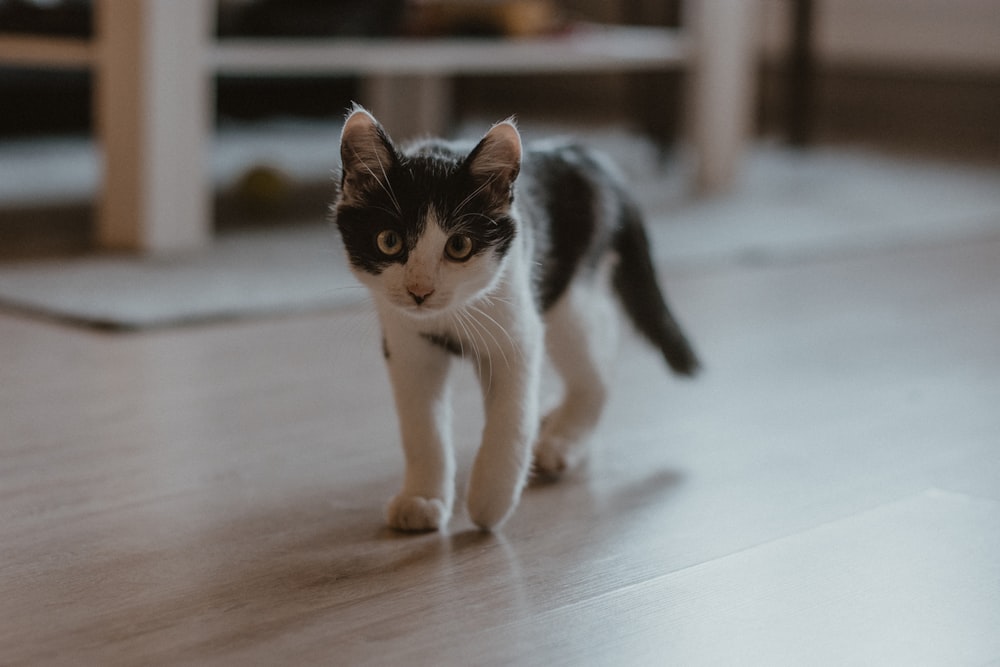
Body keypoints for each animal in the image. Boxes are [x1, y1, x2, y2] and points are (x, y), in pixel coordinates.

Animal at [332, 108, 700, 532]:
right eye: (389, 241)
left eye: (459, 246)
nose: (419, 290)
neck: (450, 315)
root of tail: (590, 156)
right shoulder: (408, 343)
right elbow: (421, 427)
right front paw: (422, 498)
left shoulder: (516, 327)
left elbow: (511, 417)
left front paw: (491, 498)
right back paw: (555, 418)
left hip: (564, 295)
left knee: (599, 353)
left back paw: (562, 441)